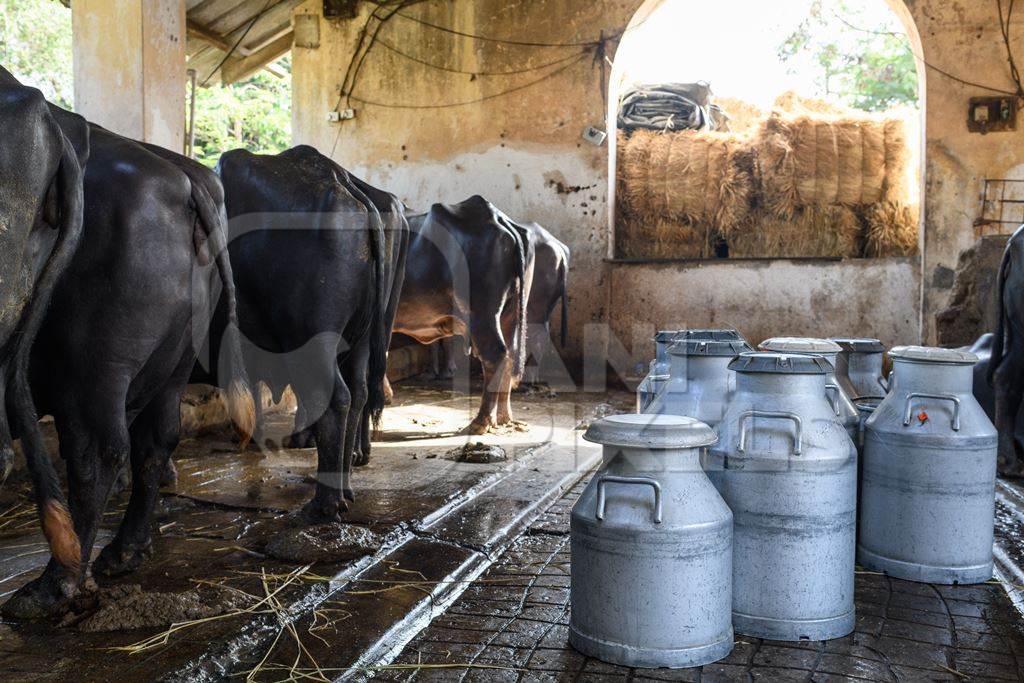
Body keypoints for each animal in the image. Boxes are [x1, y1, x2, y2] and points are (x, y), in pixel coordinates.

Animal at [4, 121, 251, 618]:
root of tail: (186, 181)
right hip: (173, 360)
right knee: (156, 439)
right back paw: (124, 552)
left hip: (96, 363)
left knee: (97, 452)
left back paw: (55, 585)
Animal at [207, 144, 407, 518]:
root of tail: (343, 182)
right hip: (362, 335)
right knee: (359, 391)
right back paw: (347, 478)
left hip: (314, 338)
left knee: (333, 397)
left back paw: (324, 503)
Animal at [391, 194, 536, 436]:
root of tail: (496, 217)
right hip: (512, 312)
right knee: (510, 354)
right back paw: (503, 417)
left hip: (482, 313)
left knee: (495, 355)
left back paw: (481, 421)